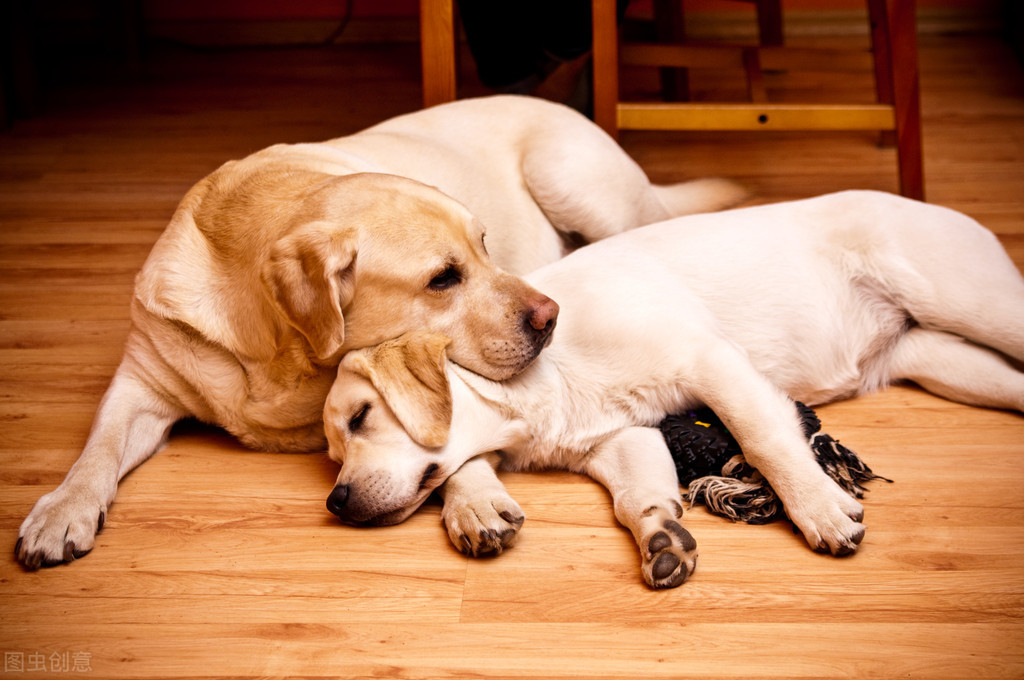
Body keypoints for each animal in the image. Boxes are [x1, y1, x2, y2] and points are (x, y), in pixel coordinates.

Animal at [12, 93, 741, 569]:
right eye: (443, 278)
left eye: (485, 246)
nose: (549, 316)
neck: (275, 351)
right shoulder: (141, 381)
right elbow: (97, 448)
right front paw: (61, 511)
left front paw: (473, 502)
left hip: (573, 180)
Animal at [319, 191, 1024, 589]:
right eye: (334, 451)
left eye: (361, 417)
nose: (335, 501)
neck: (544, 384)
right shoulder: (623, 439)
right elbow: (636, 498)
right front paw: (661, 535)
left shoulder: (711, 363)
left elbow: (767, 440)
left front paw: (820, 509)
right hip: (946, 362)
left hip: (975, 306)